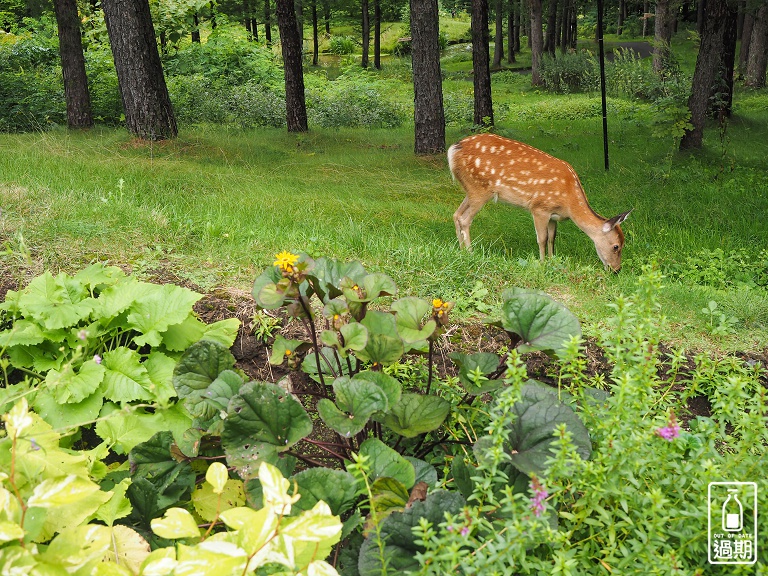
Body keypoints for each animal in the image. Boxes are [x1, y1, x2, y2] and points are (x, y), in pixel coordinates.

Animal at [448, 134, 632, 272]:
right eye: (616, 246)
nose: (617, 269)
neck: (569, 203)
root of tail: (452, 150)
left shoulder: (553, 215)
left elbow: (552, 238)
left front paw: (552, 260)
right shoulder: (539, 207)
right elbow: (542, 238)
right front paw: (542, 264)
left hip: (470, 190)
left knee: (456, 214)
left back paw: (461, 251)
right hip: (480, 189)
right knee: (465, 219)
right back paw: (470, 253)